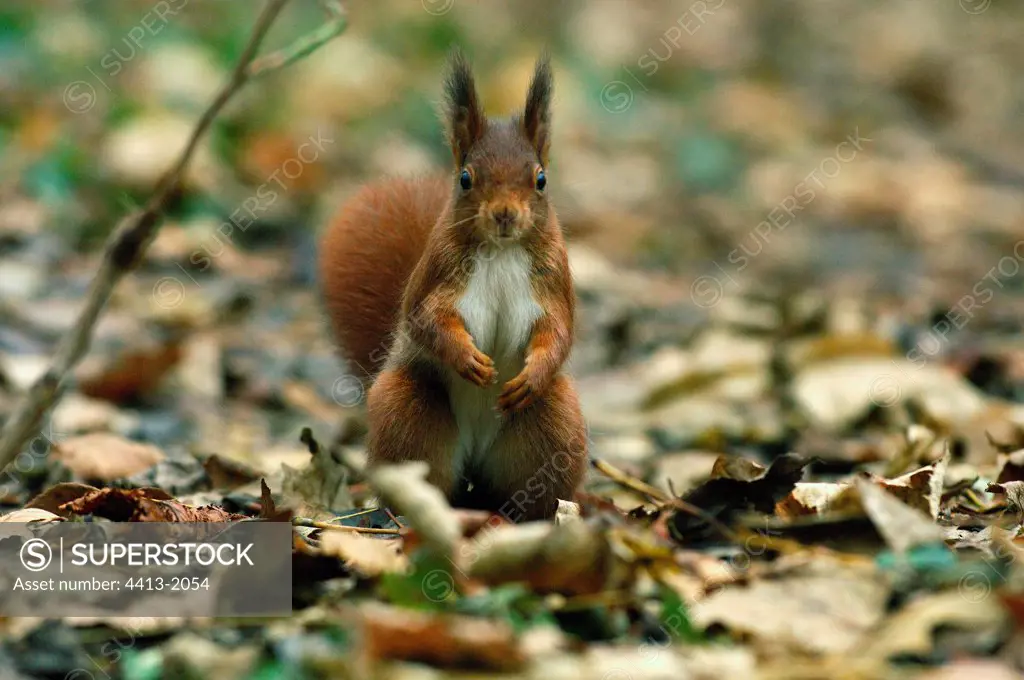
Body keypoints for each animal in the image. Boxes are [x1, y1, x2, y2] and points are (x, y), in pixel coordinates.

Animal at [319, 53, 593, 520]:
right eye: (466, 178)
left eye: (540, 179)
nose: (504, 215)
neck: (501, 250)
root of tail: (473, 464)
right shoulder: (438, 276)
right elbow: (427, 320)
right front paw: (468, 359)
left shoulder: (553, 283)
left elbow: (559, 332)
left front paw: (531, 375)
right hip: (407, 412)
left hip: (553, 425)